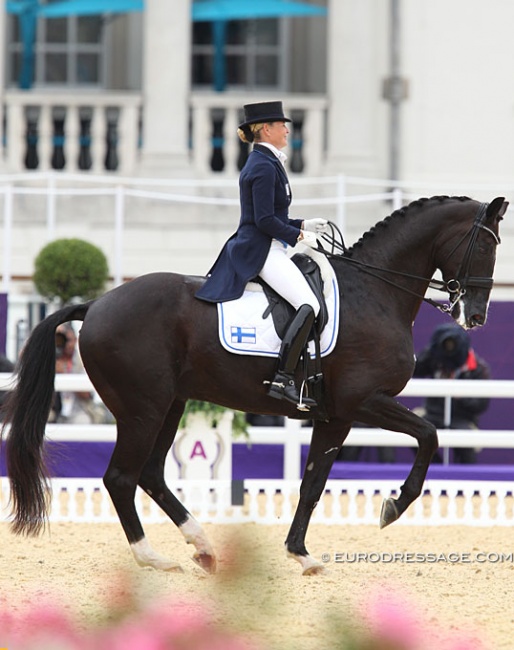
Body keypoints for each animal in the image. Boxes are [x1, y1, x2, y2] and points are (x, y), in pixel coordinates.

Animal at [1, 192, 504, 572]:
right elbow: (429, 434)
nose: (476, 316)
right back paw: (154, 558)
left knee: (150, 474)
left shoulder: (334, 415)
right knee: (121, 478)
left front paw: (301, 554)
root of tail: (97, 304)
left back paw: (202, 547)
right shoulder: (362, 402)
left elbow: (313, 481)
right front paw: (394, 506)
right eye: (485, 246)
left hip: (169, 404)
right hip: (143, 408)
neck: (375, 293)